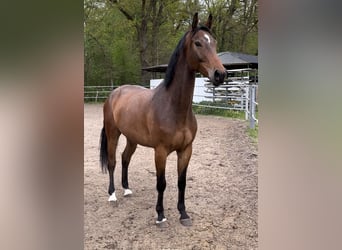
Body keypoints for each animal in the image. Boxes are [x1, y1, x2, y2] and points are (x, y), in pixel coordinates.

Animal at [99, 13, 227, 227]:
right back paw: (113, 195)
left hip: (132, 138)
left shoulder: (186, 150)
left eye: (214, 42)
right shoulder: (160, 151)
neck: (174, 108)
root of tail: (114, 93)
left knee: (125, 158)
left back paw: (127, 189)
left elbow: (181, 182)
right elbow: (161, 183)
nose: (220, 74)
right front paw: (160, 215)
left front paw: (183, 214)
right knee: (112, 162)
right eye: (198, 43)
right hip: (112, 134)